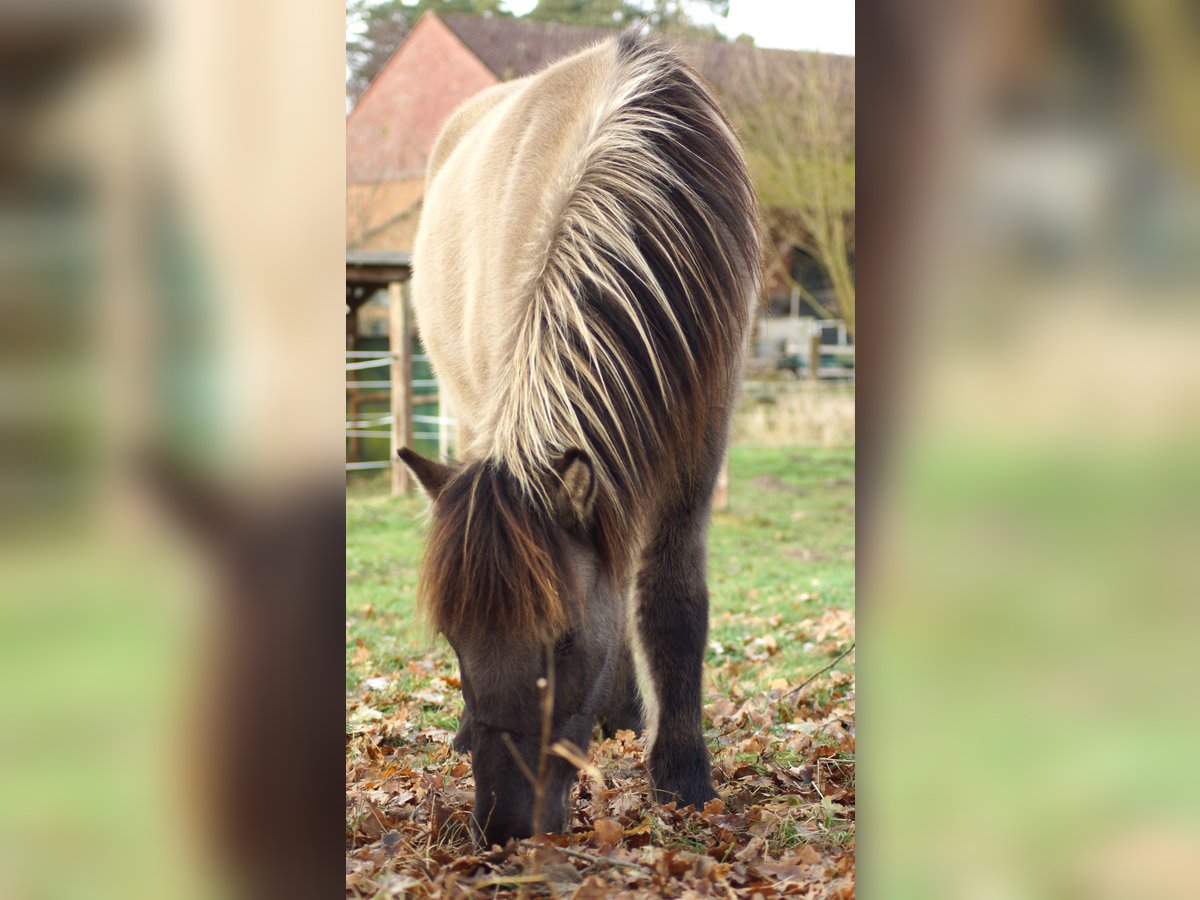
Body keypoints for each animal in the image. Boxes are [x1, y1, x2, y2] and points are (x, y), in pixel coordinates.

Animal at [398, 30, 761, 847]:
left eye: (562, 641)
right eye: (455, 642)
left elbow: (669, 600)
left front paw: (681, 774)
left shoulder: (698, 445)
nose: (504, 827)